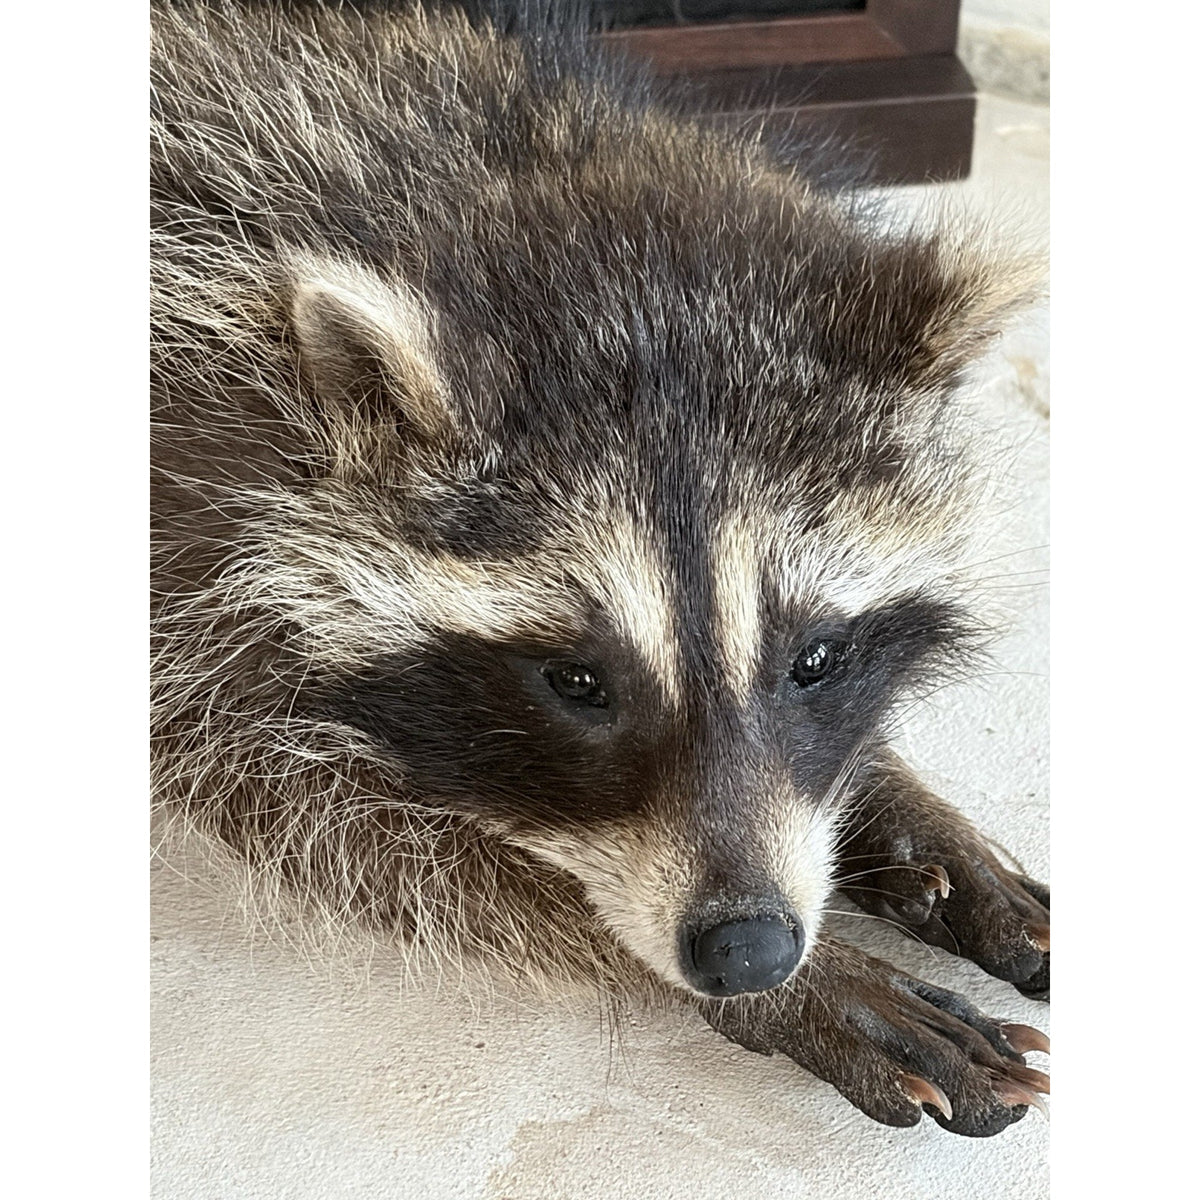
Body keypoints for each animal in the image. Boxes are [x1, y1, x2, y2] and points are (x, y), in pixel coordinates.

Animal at [151, 0, 1049, 1137]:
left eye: (815, 659)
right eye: (577, 682)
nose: (749, 952)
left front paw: (896, 802)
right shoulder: (193, 530)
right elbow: (336, 823)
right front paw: (801, 984)